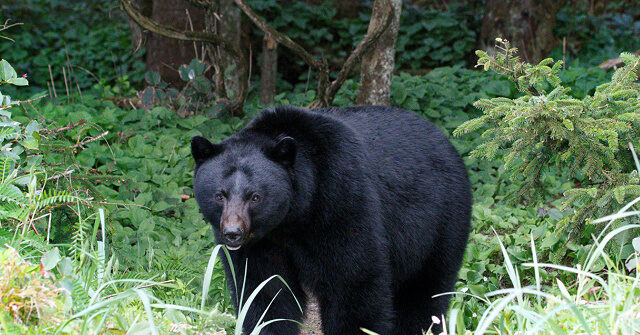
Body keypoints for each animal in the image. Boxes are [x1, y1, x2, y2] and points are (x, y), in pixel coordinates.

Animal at [190, 106, 470, 335]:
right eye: (219, 195)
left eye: (255, 196)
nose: (233, 233)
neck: (291, 219)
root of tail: (445, 140)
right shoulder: (262, 244)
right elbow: (265, 290)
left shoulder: (340, 198)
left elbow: (353, 280)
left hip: (440, 219)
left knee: (425, 290)